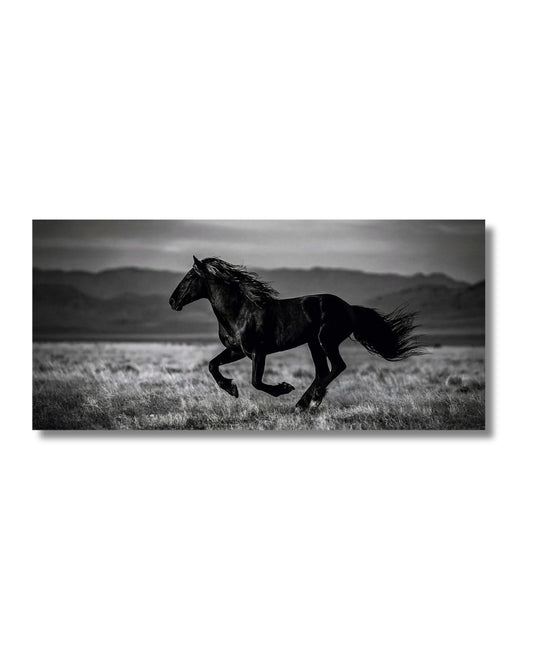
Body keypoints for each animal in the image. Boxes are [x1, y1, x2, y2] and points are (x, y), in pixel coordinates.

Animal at [169, 256, 422, 410]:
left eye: (189, 277)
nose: (172, 301)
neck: (239, 311)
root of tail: (350, 308)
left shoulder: (258, 352)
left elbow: (256, 381)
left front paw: (283, 388)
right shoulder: (236, 350)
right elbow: (212, 365)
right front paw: (231, 389)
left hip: (326, 340)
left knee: (337, 367)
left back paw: (312, 401)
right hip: (313, 343)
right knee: (323, 371)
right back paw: (303, 404)